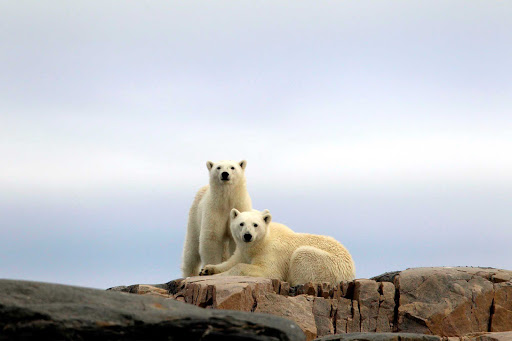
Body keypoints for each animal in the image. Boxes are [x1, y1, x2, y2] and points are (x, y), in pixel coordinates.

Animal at [200, 207, 356, 284]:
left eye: (255, 224)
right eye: (241, 224)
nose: (247, 236)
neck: (262, 241)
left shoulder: (271, 252)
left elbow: (267, 271)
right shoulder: (243, 251)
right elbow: (232, 261)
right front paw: (206, 269)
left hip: (329, 265)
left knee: (302, 255)